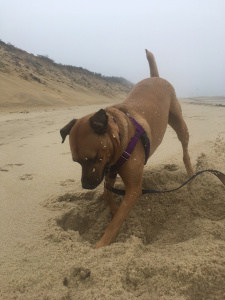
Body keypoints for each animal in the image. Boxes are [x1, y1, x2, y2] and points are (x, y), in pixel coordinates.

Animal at [59, 50, 193, 248]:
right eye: (76, 161)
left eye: (94, 158)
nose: (86, 186)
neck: (121, 137)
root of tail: (155, 77)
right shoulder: (109, 170)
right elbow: (107, 194)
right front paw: (115, 210)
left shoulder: (133, 188)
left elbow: (115, 223)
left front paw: (101, 244)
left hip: (179, 121)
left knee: (185, 150)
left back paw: (191, 175)